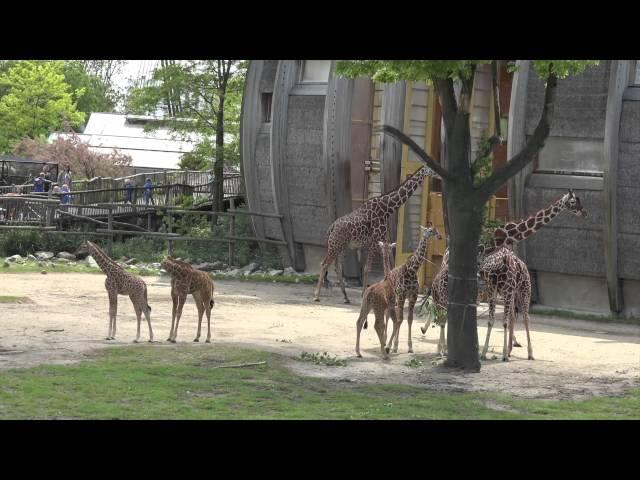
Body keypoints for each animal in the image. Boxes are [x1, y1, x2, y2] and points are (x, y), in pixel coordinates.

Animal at [312, 165, 438, 304]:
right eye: (432, 169)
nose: (440, 175)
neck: (387, 209)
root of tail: (331, 227)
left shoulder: (384, 241)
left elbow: (387, 266)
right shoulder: (374, 242)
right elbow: (367, 268)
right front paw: (364, 295)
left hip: (343, 247)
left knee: (337, 267)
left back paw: (346, 297)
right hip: (335, 245)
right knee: (324, 264)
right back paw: (316, 295)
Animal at [384, 223, 440, 354]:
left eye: (437, 230)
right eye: (430, 231)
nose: (439, 237)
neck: (412, 270)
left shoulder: (413, 296)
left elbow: (409, 319)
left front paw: (409, 347)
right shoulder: (402, 295)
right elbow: (400, 319)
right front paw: (393, 346)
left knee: (394, 315)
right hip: (393, 296)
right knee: (390, 315)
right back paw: (386, 341)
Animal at [422, 188, 588, 352]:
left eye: (580, 200)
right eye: (573, 202)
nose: (584, 212)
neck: (496, 239)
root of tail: (447, 250)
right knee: (438, 297)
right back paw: (438, 342)